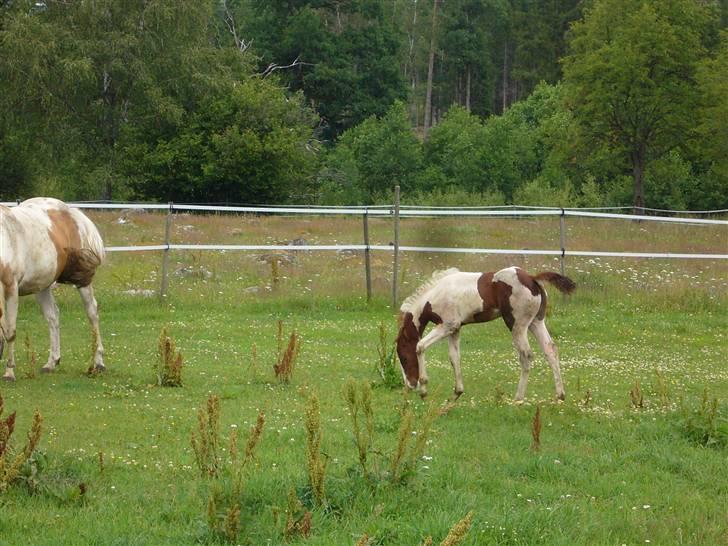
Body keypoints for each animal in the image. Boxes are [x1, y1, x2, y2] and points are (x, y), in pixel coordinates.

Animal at [0, 197, 106, 381]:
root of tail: (71, 212)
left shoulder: (11, 288)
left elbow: (10, 331)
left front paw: (9, 372)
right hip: (42, 286)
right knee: (53, 317)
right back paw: (52, 362)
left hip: (83, 281)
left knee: (92, 313)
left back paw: (98, 362)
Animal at [396, 266, 575, 402]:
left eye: (404, 358)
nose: (410, 385)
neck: (435, 295)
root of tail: (532, 278)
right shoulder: (455, 329)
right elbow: (454, 358)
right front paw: (456, 393)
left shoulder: (447, 325)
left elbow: (420, 346)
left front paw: (424, 390)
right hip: (536, 322)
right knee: (550, 350)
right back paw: (559, 396)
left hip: (517, 325)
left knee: (526, 355)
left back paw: (518, 399)